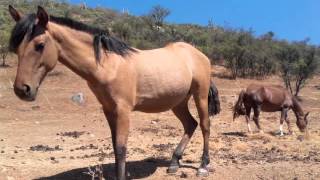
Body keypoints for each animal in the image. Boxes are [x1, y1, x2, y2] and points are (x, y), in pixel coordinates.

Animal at [8, 5, 221, 180]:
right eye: (17, 47)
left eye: (40, 45)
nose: (22, 90)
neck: (108, 65)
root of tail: (199, 54)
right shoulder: (109, 110)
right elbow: (114, 145)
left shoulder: (123, 110)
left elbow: (120, 148)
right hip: (178, 102)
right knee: (190, 124)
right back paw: (174, 163)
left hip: (200, 95)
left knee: (204, 125)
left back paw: (203, 166)